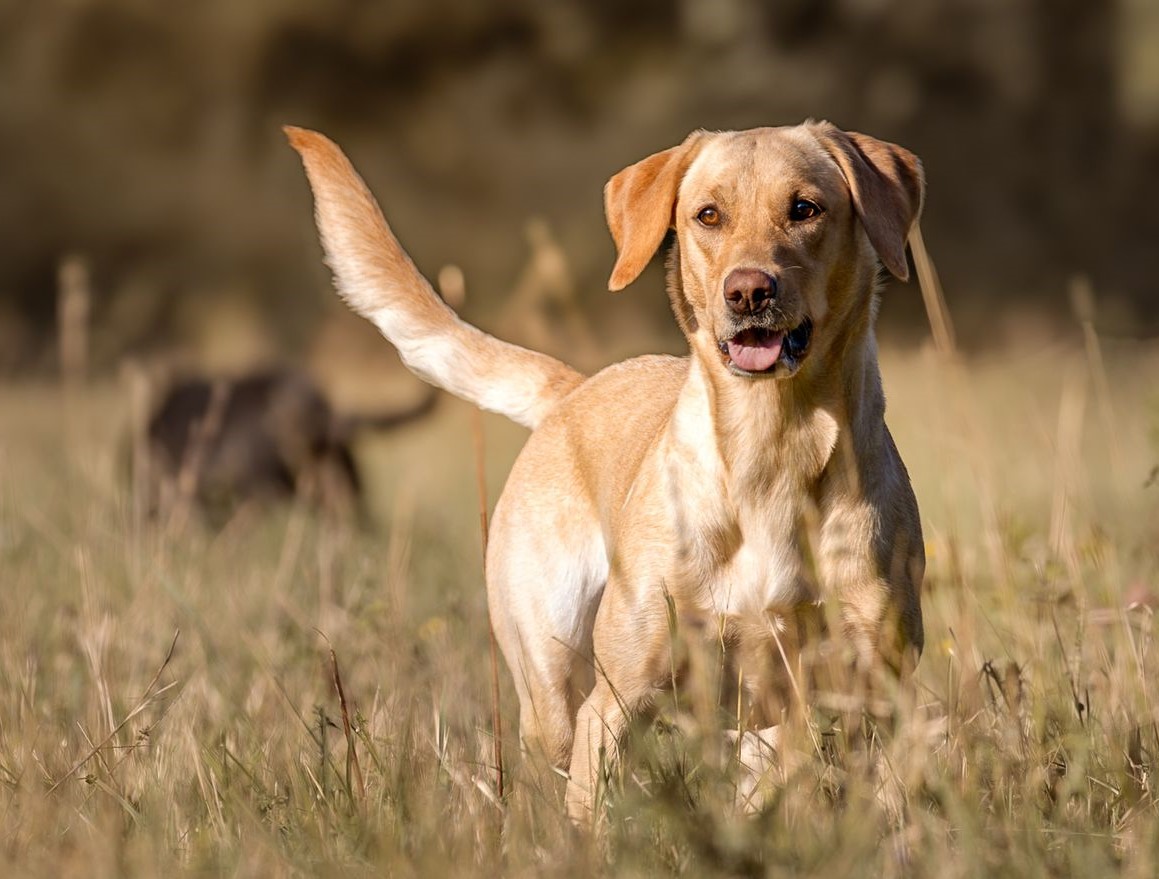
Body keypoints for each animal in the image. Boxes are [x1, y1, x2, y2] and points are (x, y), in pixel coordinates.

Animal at [287, 122, 922, 821]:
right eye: (709, 215)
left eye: (805, 209)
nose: (749, 291)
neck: (771, 451)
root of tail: (575, 387)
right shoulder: (617, 701)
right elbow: (588, 817)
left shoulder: (876, 688)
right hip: (553, 678)